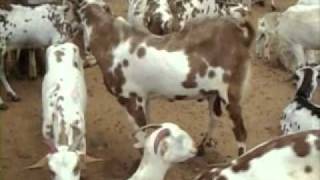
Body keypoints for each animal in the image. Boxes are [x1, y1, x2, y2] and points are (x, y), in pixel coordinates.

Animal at [78, 0, 255, 155]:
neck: (112, 40)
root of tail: (241, 36)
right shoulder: (144, 97)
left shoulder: (131, 100)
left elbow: (141, 135)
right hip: (214, 93)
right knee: (214, 117)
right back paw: (203, 147)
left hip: (231, 95)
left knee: (241, 132)